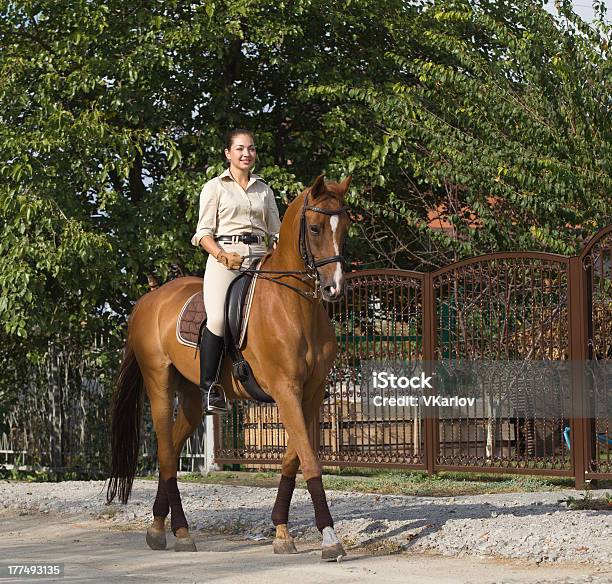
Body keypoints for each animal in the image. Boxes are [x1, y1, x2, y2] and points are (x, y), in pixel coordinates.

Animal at [107, 175, 352, 560]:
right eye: (314, 228)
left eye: (345, 227)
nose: (334, 288)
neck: (295, 307)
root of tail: (149, 299)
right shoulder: (286, 390)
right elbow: (310, 460)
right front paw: (329, 537)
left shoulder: (310, 393)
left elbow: (293, 458)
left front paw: (281, 532)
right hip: (159, 384)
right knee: (166, 453)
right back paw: (181, 532)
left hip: (192, 397)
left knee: (170, 451)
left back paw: (159, 528)